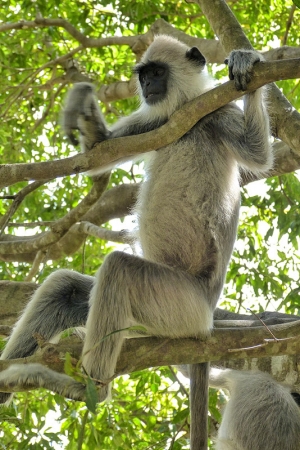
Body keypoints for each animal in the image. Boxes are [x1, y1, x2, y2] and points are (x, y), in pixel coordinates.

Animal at [0, 36, 272, 412]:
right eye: (143, 76)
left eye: (157, 73)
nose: (146, 86)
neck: (182, 113)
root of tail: (206, 322)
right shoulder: (155, 124)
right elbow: (100, 148)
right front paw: (82, 96)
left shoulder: (215, 113)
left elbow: (259, 154)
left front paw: (247, 60)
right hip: (148, 323)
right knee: (65, 286)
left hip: (181, 306)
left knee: (118, 270)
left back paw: (89, 389)